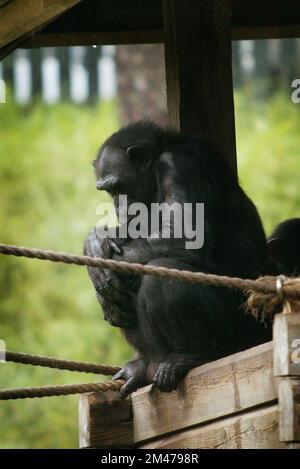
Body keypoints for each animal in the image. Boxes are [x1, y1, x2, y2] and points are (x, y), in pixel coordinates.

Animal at [84, 120, 270, 394]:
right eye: (108, 191)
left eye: (118, 186)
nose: (118, 205)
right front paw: (95, 245)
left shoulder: (180, 166)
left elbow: (184, 232)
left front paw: (99, 258)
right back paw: (143, 367)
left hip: (237, 332)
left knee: (161, 274)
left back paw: (189, 357)